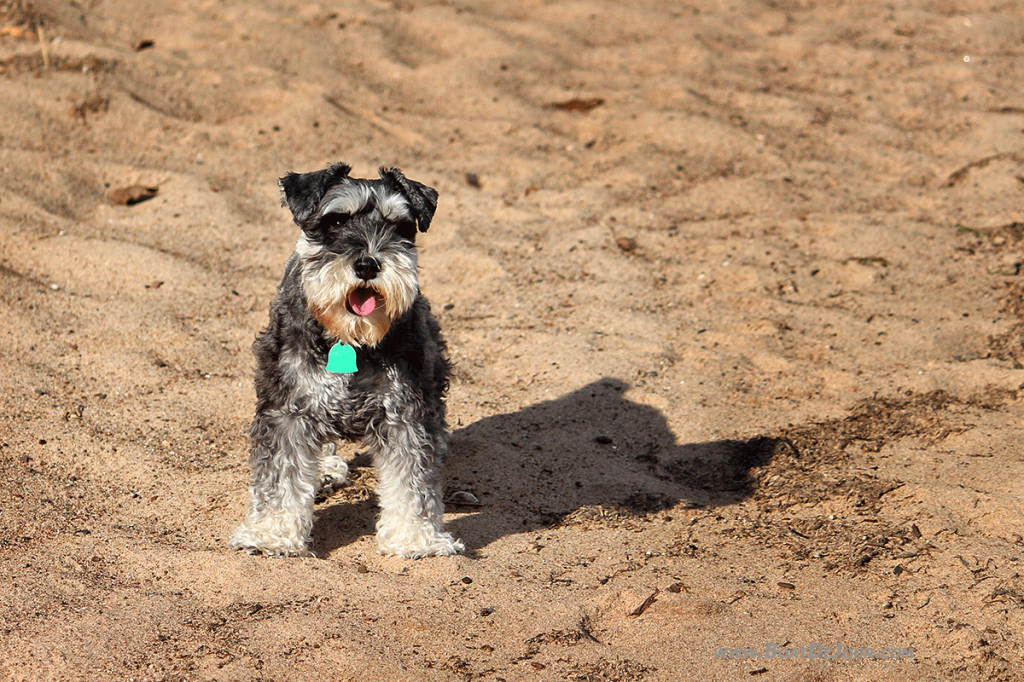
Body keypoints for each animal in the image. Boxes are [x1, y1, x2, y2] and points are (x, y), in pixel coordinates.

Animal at [231, 161, 464, 557]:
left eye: (399, 226)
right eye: (336, 221)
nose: (368, 264)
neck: (349, 339)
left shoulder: (404, 412)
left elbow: (413, 478)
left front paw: (415, 537)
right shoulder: (287, 409)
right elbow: (280, 476)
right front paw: (272, 533)